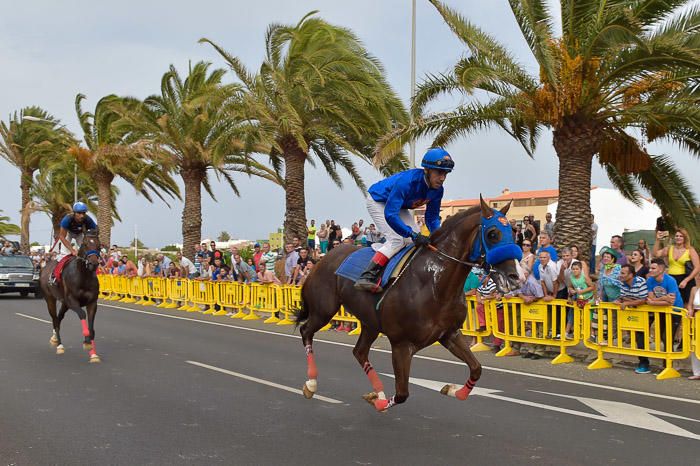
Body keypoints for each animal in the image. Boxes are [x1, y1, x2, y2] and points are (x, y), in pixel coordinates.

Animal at [40, 229, 101, 364]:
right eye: (85, 244)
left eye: (99, 245)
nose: (93, 263)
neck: (83, 276)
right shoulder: (72, 301)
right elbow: (82, 315)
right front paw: (87, 342)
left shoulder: (92, 303)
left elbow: (92, 328)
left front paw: (93, 354)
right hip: (50, 299)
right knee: (55, 319)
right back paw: (59, 345)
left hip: (64, 303)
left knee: (59, 318)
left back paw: (55, 339)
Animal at [294, 198, 520, 410]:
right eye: (492, 233)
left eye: (513, 232)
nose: (514, 276)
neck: (434, 283)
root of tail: (320, 260)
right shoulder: (401, 344)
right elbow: (402, 393)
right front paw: (378, 402)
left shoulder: (449, 334)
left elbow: (476, 368)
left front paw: (451, 389)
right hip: (323, 310)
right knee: (306, 331)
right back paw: (311, 383)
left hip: (370, 323)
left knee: (359, 352)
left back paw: (378, 391)